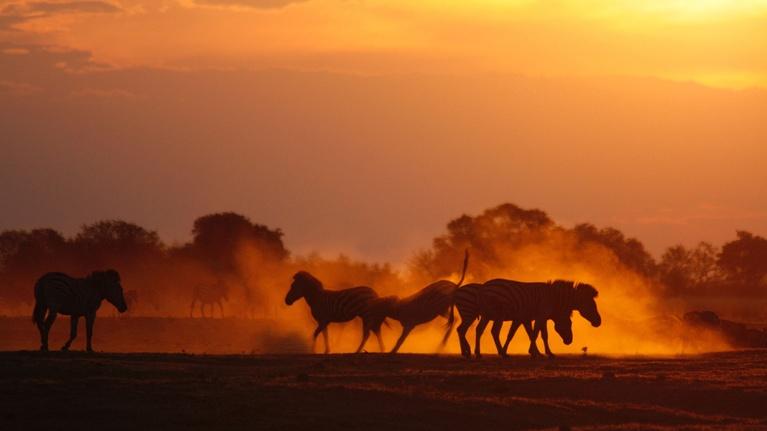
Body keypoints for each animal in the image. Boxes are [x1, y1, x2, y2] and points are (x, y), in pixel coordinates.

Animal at [453, 279, 600, 358]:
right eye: (592, 306)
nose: (598, 322)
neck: (553, 297)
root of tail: (483, 288)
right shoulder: (540, 316)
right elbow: (538, 334)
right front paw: (542, 353)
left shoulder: (527, 318)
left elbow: (532, 334)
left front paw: (538, 352)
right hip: (487, 314)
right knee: (490, 331)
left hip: (486, 314)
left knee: (476, 330)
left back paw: (475, 353)